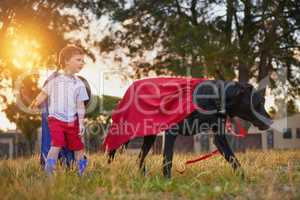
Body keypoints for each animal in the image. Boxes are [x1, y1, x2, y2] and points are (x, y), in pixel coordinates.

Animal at [108, 80, 272, 178]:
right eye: (258, 103)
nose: (270, 121)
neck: (215, 98)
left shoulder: (219, 138)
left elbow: (233, 158)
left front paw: (244, 178)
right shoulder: (171, 131)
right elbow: (168, 159)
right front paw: (167, 181)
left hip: (150, 135)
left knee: (140, 158)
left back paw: (142, 176)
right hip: (127, 130)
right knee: (113, 148)